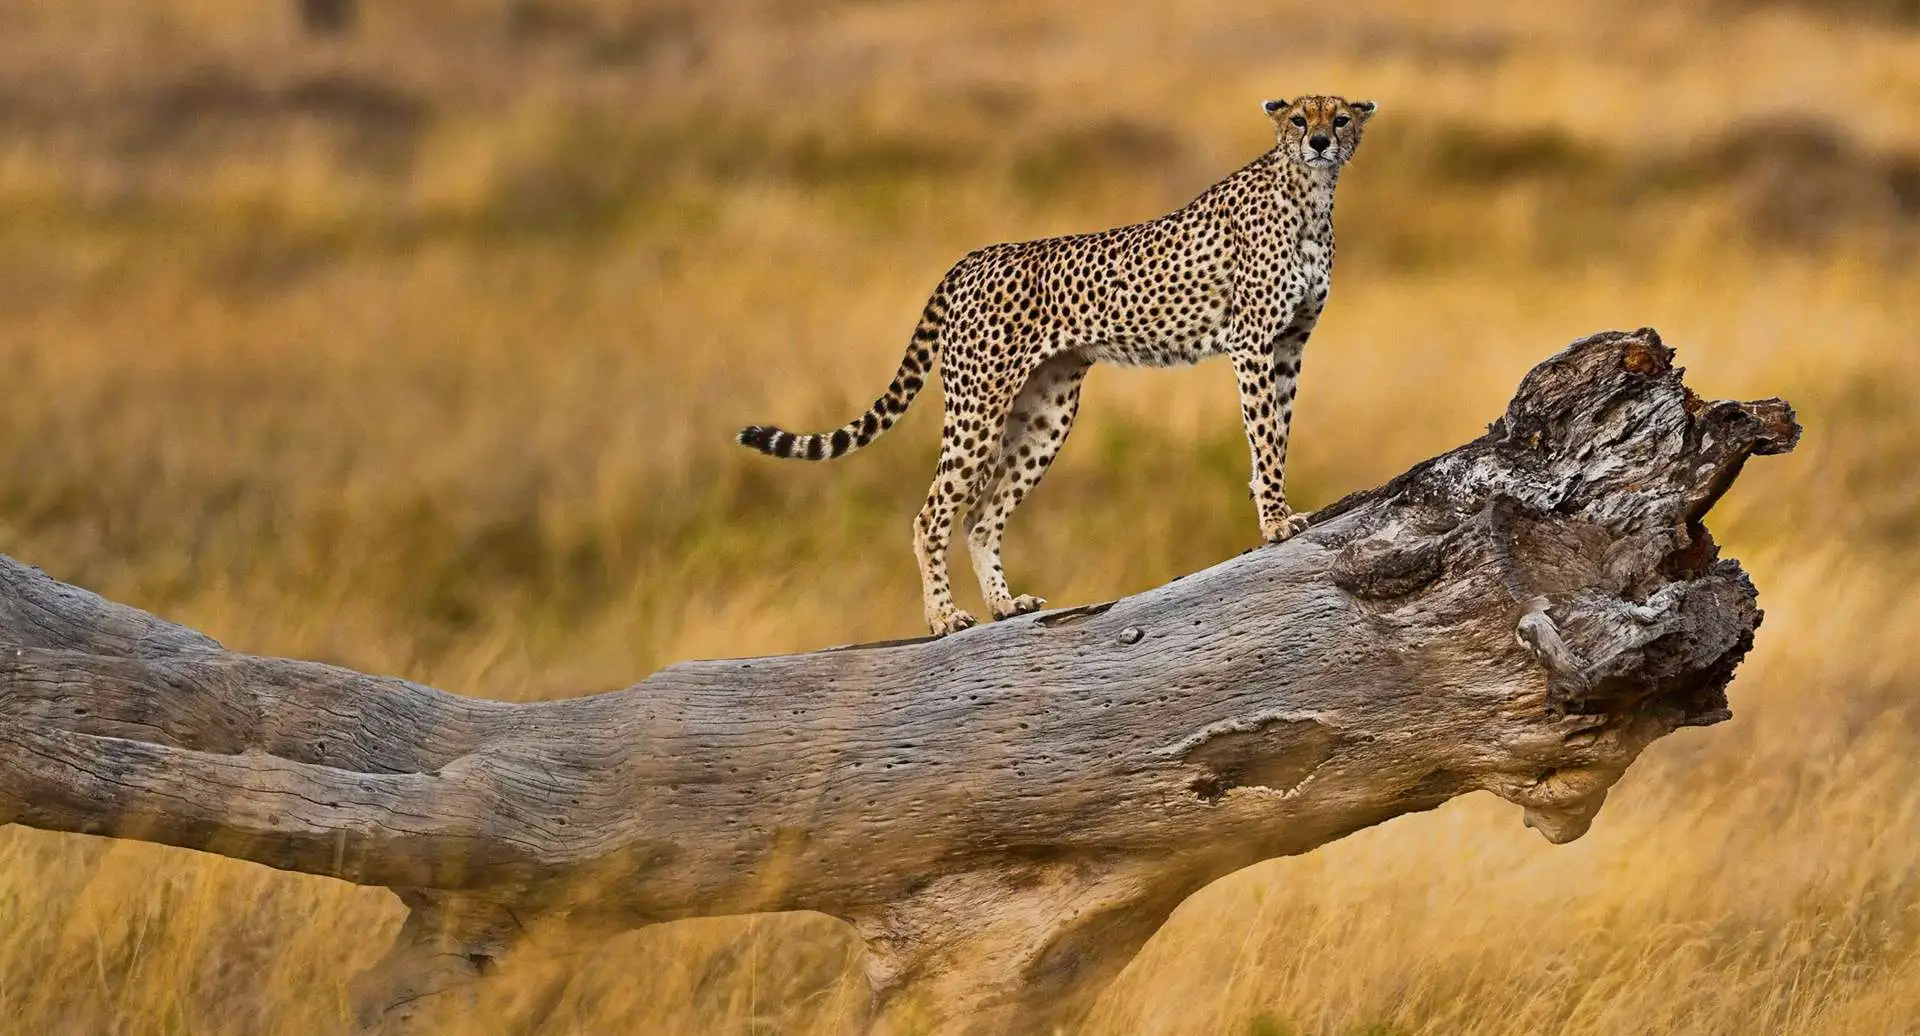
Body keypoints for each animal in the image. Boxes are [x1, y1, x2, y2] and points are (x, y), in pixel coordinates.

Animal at [737, 95, 1377, 636]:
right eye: (1300, 119)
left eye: (1341, 119)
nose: (1321, 141)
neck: (1310, 193)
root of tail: (976, 255)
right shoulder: (1253, 344)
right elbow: (1264, 437)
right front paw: (1275, 521)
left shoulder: (1290, 346)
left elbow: (1279, 433)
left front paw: (1277, 507)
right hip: (978, 407)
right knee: (934, 513)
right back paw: (944, 617)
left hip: (1047, 413)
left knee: (981, 517)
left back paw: (1004, 605)